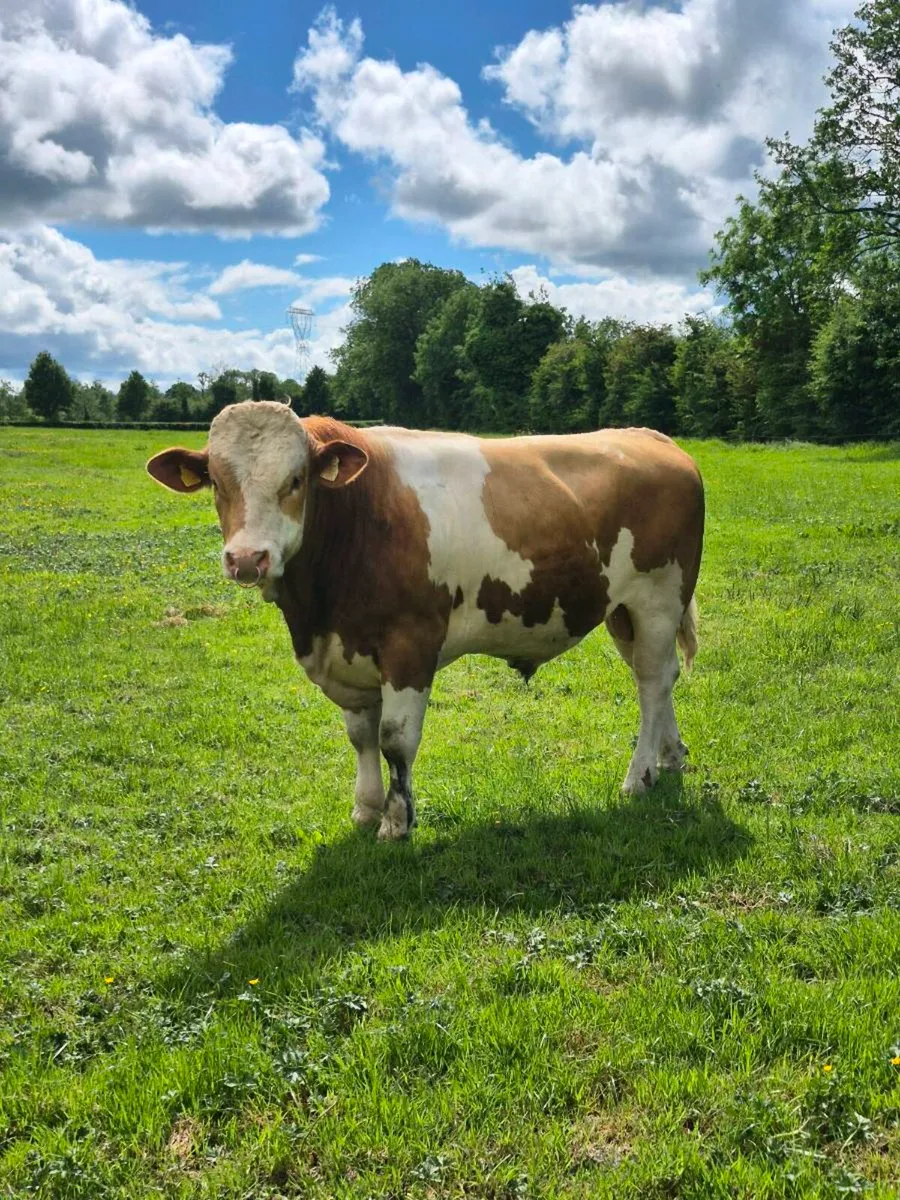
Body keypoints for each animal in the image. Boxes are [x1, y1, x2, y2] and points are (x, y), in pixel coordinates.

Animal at [147, 401, 704, 841]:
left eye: (296, 480)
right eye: (217, 483)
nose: (247, 558)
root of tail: (649, 437)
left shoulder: (410, 644)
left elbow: (395, 738)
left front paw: (397, 821)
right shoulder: (348, 650)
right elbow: (361, 735)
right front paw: (366, 808)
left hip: (659, 598)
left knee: (652, 681)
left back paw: (638, 777)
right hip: (622, 611)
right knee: (659, 677)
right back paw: (670, 757)